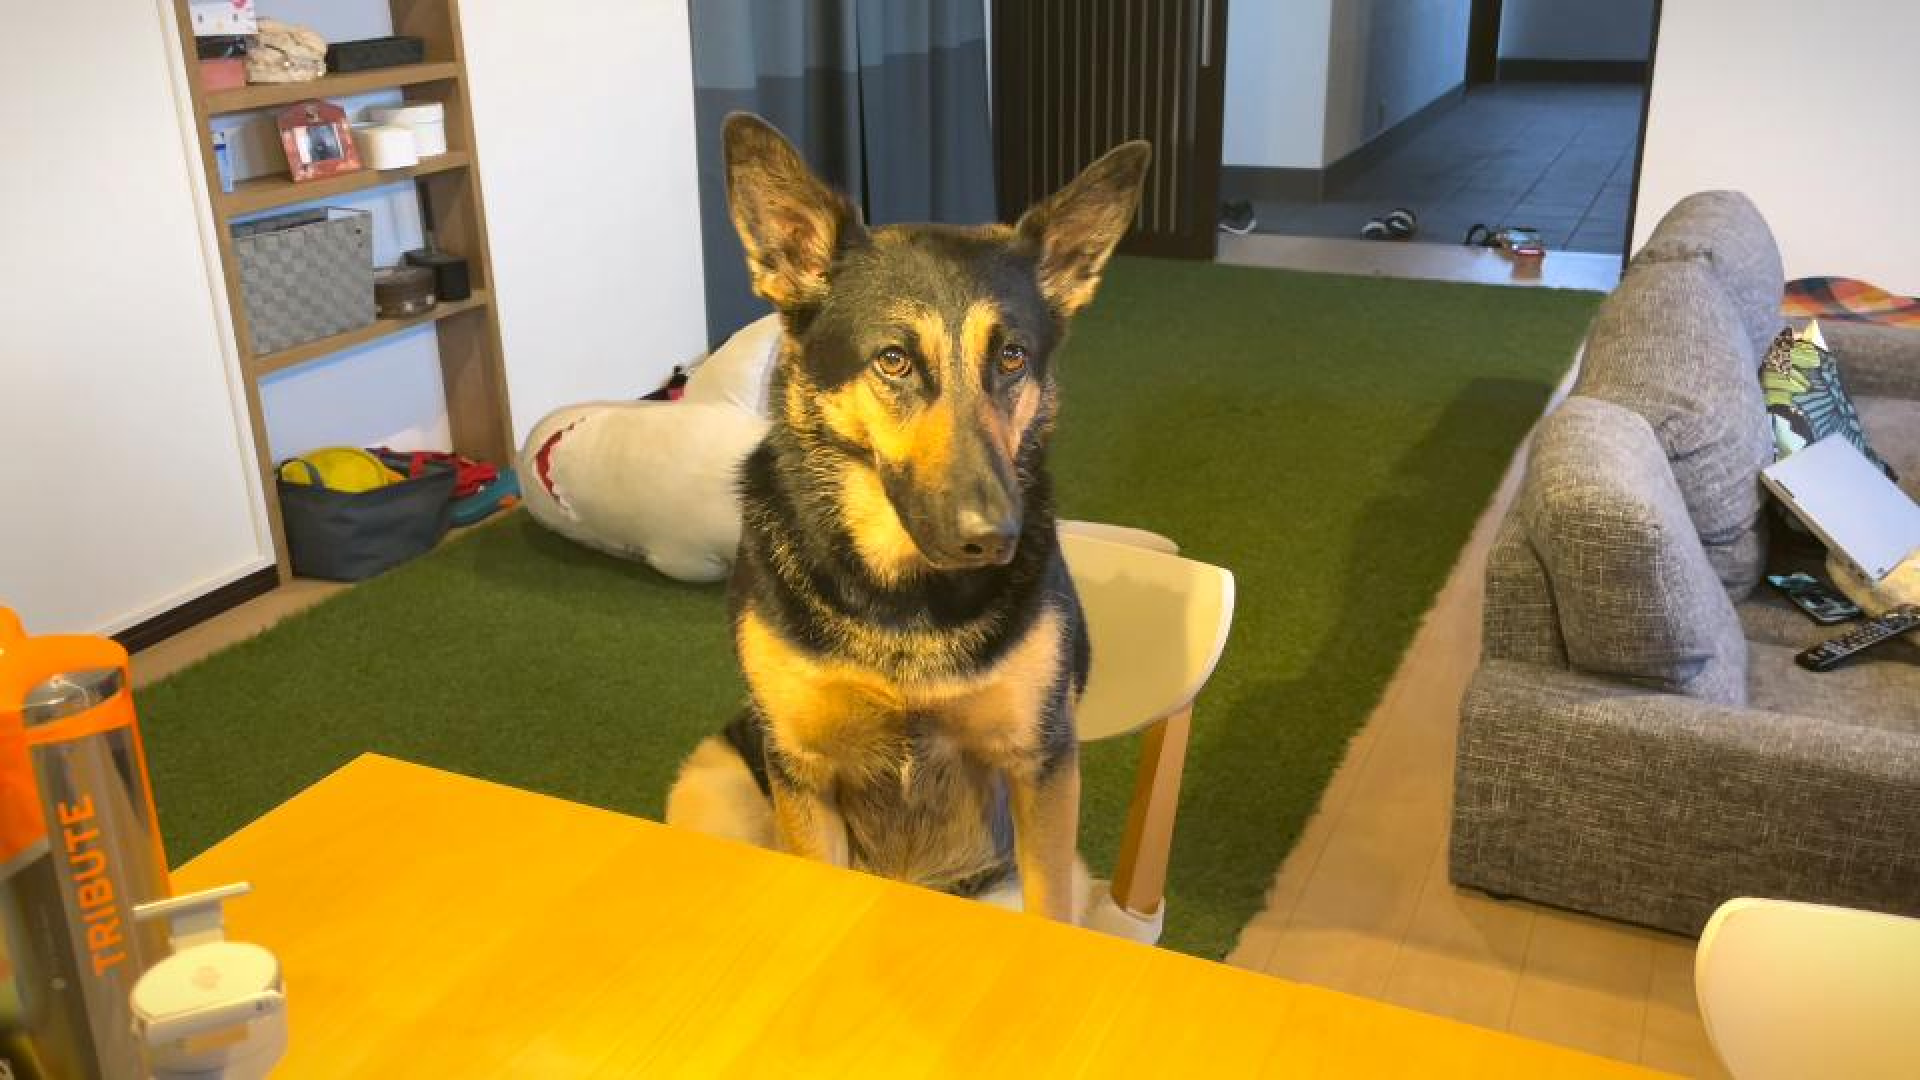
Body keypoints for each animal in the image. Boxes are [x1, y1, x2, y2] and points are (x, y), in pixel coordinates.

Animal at [666, 113, 1150, 923]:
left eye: (1012, 359)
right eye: (893, 360)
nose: (993, 538)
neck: (902, 600)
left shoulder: (1041, 767)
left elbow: (1048, 905)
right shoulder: (803, 771)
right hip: (717, 781)